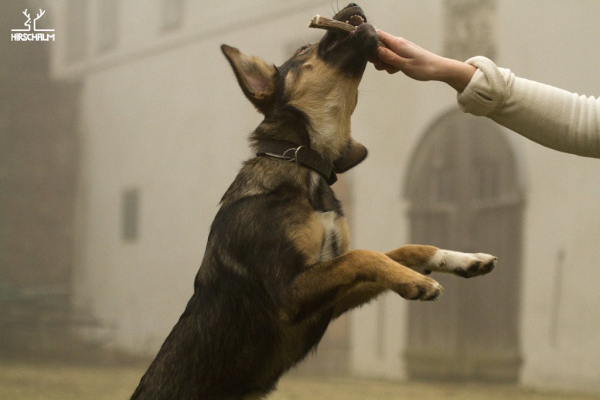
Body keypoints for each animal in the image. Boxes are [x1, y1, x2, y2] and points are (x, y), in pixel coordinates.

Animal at [131, 3, 496, 400]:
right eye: (303, 49)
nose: (354, 6)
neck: (304, 162)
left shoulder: (333, 298)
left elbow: (400, 251)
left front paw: (461, 259)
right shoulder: (291, 292)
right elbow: (364, 256)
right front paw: (420, 283)